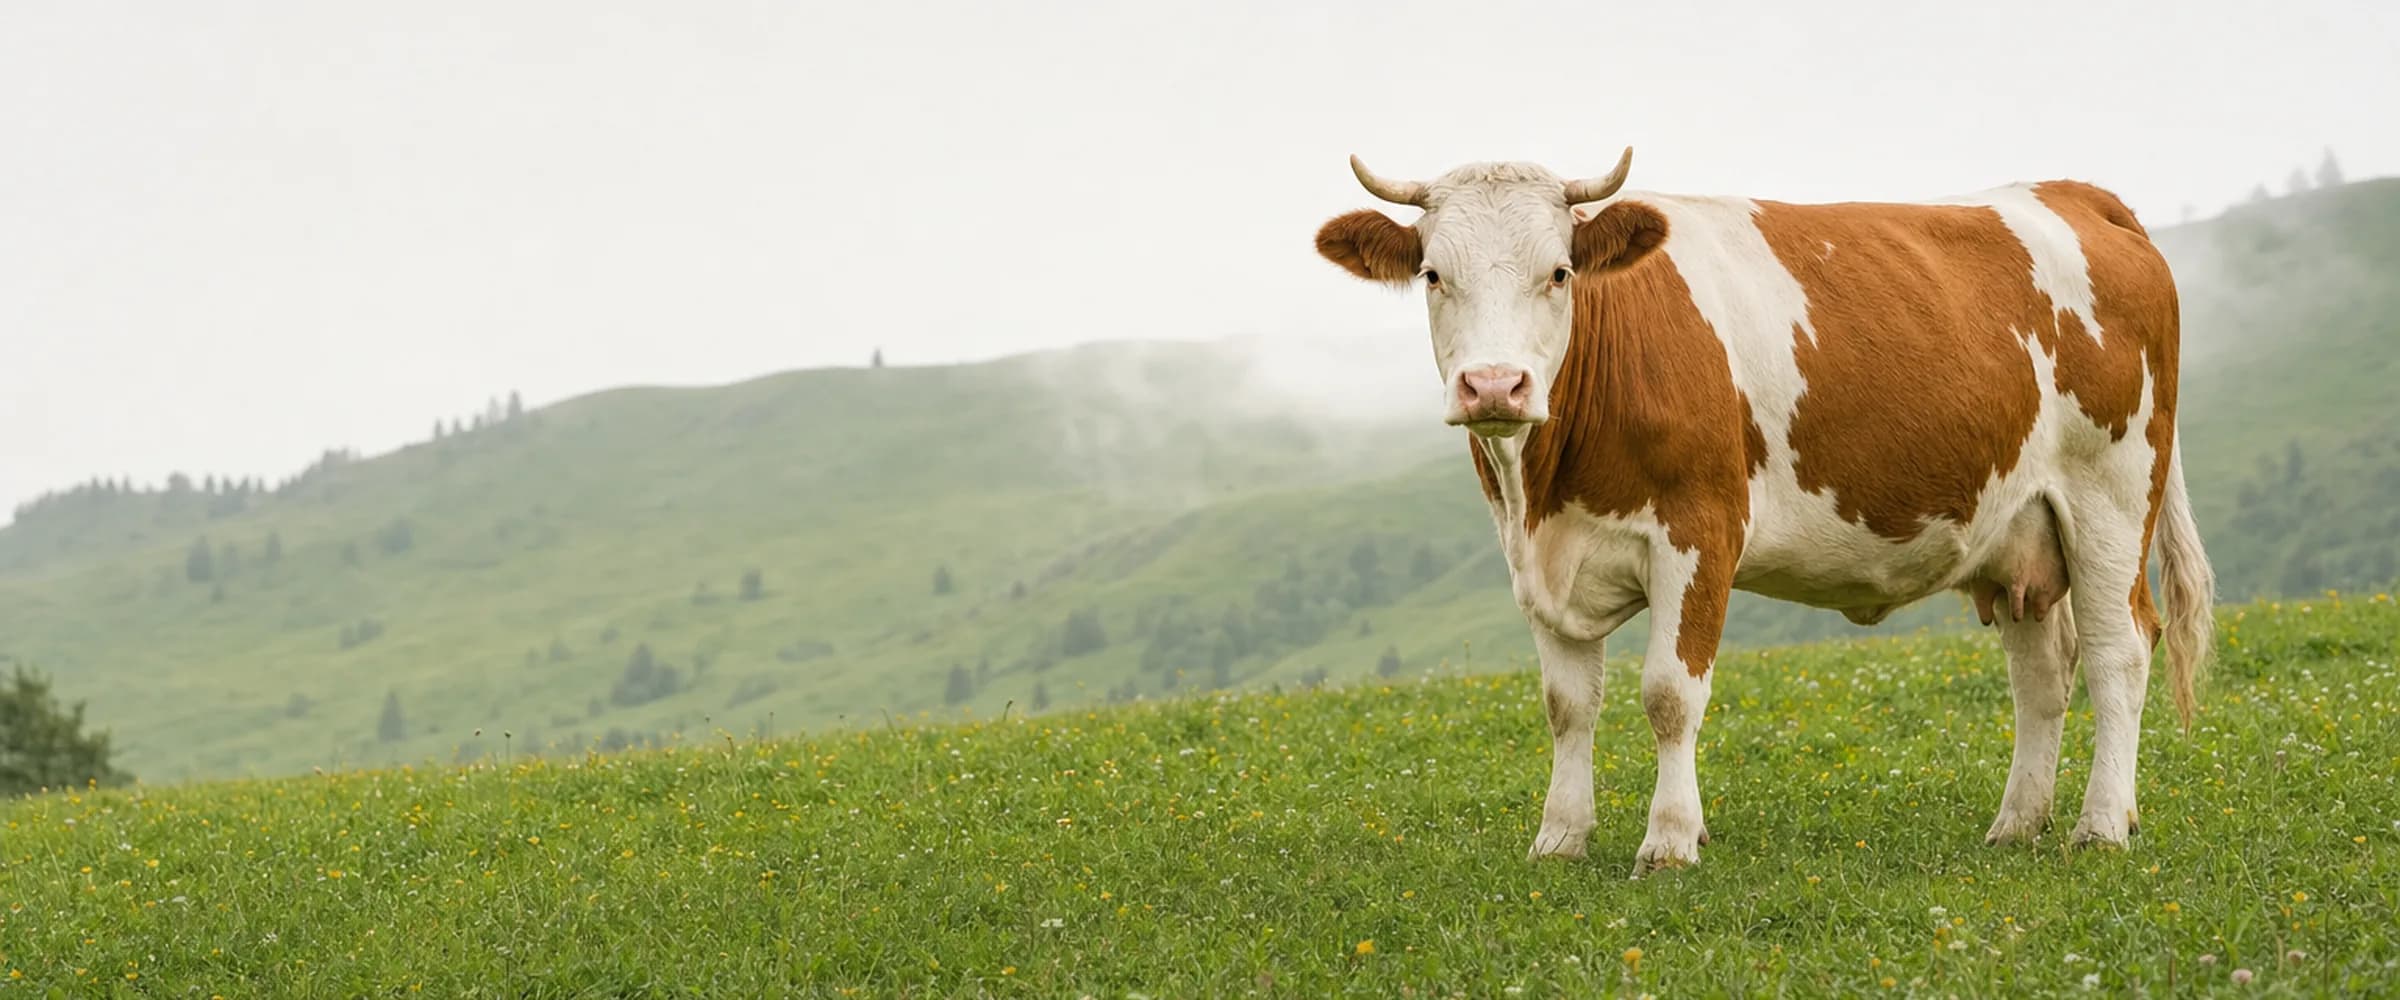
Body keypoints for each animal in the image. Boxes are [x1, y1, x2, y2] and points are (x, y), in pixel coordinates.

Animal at [1312, 148, 2215, 875]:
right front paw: (1560, 839)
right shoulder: (1537, 556)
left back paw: (2101, 825)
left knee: (2120, 649)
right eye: (1435, 275)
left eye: (1559, 273)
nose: (1495, 386)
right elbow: (1567, 705)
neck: (1549, 486)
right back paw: (2018, 823)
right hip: (2021, 527)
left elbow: (1670, 693)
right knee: (2041, 672)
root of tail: (2075, 193)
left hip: (2112, 493)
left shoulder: (1700, 531)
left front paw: (1670, 841)